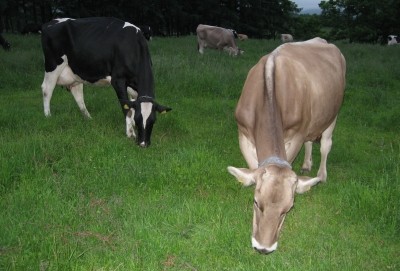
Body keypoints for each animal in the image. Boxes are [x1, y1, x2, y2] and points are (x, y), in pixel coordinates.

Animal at [41, 16, 172, 149]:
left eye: (153, 120)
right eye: (138, 119)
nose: (143, 144)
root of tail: (51, 22)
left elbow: (132, 105)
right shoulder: (118, 80)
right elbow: (126, 108)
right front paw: (130, 133)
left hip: (76, 74)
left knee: (78, 95)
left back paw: (88, 118)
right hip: (52, 65)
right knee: (47, 89)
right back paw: (48, 116)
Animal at [227, 37, 346, 255]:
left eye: (288, 209)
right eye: (256, 202)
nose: (263, 248)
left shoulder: (296, 135)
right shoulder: (243, 134)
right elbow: (253, 168)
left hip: (333, 113)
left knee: (325, 145)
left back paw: (321, 174)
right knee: (310, 141)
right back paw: (306, 165)